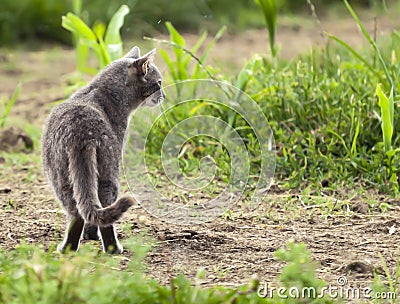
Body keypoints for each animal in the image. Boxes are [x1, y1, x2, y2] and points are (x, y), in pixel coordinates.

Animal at [41, 46, 164, 253]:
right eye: (159, 82)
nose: (164, 95)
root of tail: (81, 133)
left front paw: (89, 236)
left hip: (60, 177)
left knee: (77, 212)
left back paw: (68, 248)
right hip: (109, 173)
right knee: (103, 210)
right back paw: (113, 249)